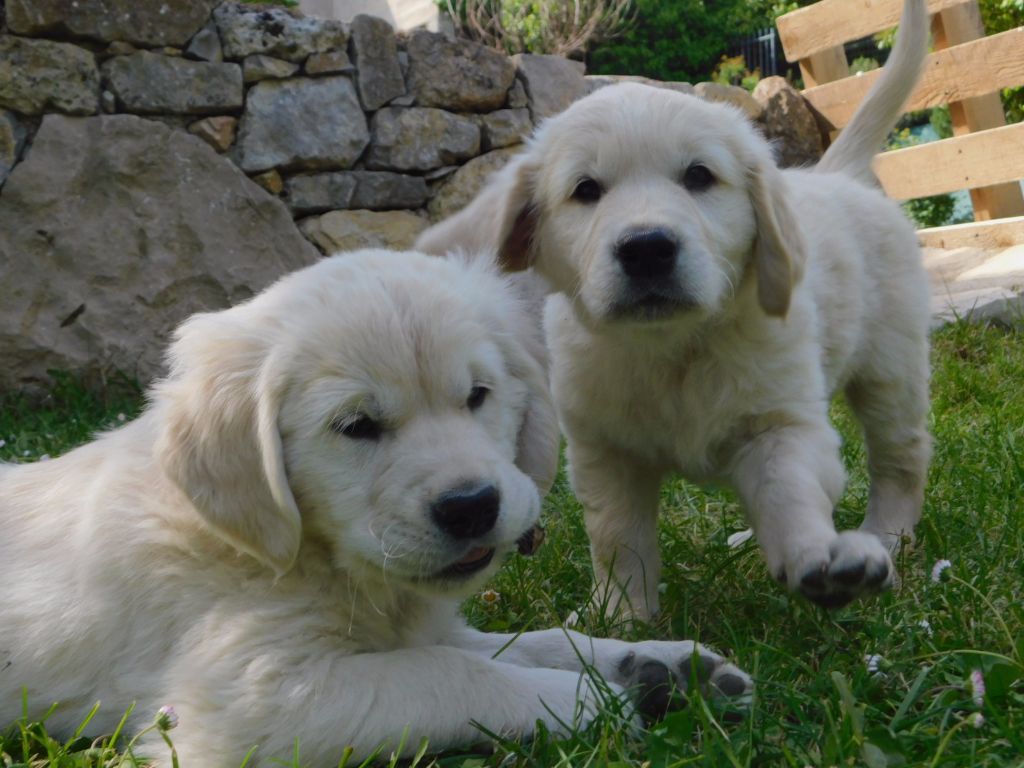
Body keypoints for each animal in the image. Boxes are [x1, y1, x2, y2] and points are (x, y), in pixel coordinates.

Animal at [0, 249, 753, 765]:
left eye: (477, 395)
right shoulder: (246, 701)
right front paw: (590, 700)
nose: (472, 506)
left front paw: (659, 665)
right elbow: (450, 673)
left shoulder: (420, 625)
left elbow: (530, 641)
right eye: (356, 425)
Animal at [417, 0, 937, 618]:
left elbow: (788, 488)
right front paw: (619, 615)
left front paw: (821, 558)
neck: (672, 348)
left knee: (900, 458)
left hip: (892, 368)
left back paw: (886, 536)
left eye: (699, 177)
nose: (647, 249)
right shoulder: (603, 450)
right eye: (585, 190)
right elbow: (617, 536)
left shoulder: (780, 420)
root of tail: (841, 174)